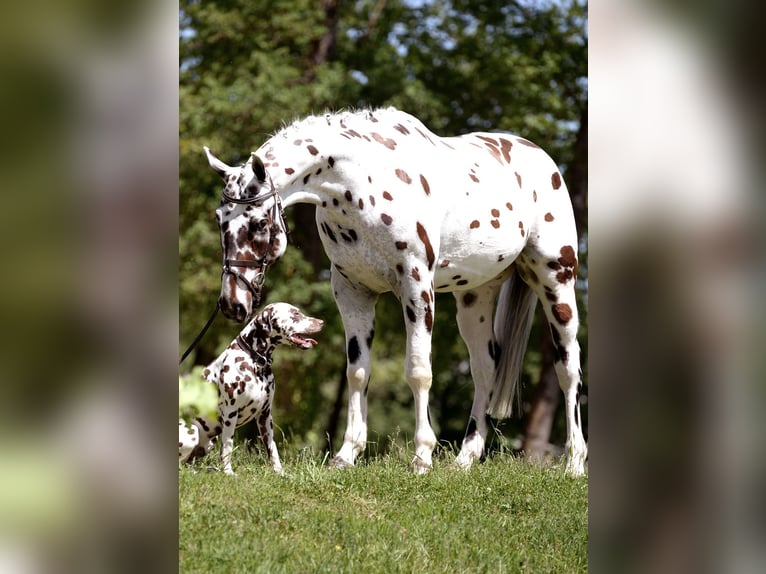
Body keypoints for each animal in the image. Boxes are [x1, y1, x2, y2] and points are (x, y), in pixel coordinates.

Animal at [180, 304, 324, 474]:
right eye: (295, 314)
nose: (321, 322)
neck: (255, 362)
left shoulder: (265, 415)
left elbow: (272, 448)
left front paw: (279, 472)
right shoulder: (230, 414)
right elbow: (227, 447)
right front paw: (228, 472)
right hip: (193, 431)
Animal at [204, 107, 588, 476]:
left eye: (259, 223)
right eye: (219, 218)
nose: (232, 304)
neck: (362, 183)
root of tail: (543, 160)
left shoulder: (416, 285)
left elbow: (418, 370)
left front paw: (422, 458)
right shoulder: (351, 291)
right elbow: (357, 372)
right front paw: (347, 454)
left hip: (557, 283)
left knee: (568, 369)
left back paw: (574, 464)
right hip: (474, 297)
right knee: (485, 368)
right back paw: (465, 459)